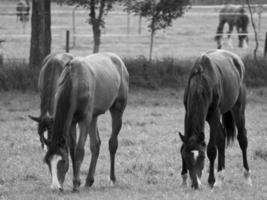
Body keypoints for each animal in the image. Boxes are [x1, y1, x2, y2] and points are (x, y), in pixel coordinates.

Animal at [42, 52, 129, 191]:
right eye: (48, 162)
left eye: (62, 161)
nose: (55, 187)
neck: (74, 81)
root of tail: (117, 59)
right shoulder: (72, 121)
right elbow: (72, 150)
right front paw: (76, 180)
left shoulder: (84, 120)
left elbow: (79, 150)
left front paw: (76, 183)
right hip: (94, 116)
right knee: (95, 145)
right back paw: (89, 180)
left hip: (117, 109)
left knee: (113, 144)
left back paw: (112, 179)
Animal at [180, 49, 253, 189]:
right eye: (186, 158)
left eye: (202, 157)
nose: (196, 184)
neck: (201, 81)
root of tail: (236, 59)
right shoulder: (187, 113)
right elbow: (183, 145)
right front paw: (184, 179)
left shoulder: (214, 114)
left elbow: (212, 149)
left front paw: (211, 180)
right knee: (222, 137)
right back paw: (221, 177)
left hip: (238, 109)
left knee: (242, 138)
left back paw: (246, 177)